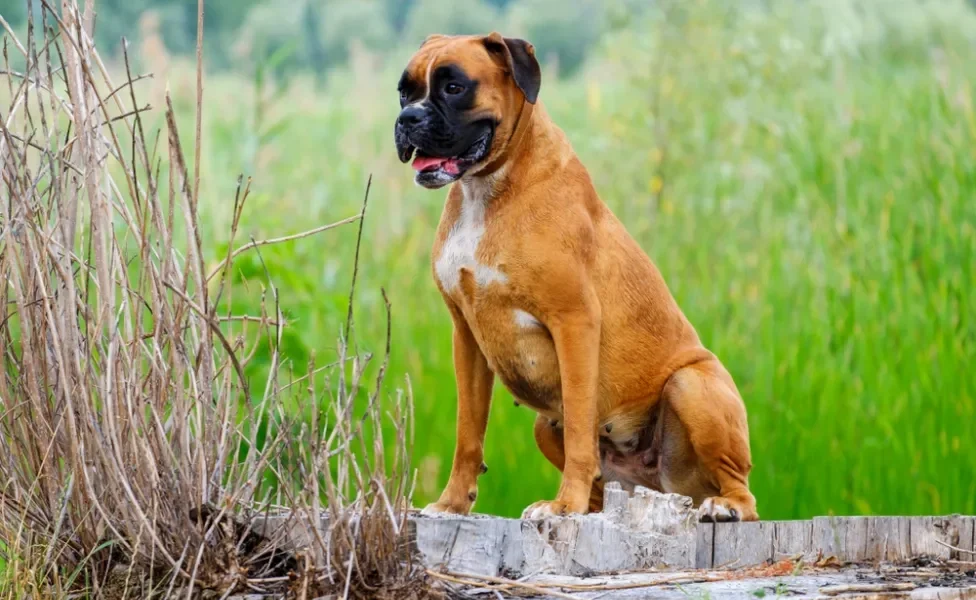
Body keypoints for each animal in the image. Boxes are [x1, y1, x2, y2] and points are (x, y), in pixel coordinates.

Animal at [392, 32, 760, 524]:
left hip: (690, 386)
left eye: (454, 87)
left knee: (743, 491)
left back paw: (724, 506)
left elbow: (582, 430)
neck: (487, 189)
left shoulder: (575, 322)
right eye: (404, 92)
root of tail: (670, 485)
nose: (407, 118)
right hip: (545, 427)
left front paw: (563, 504)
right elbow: (468, 433)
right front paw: (453, 502)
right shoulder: (466, 337)